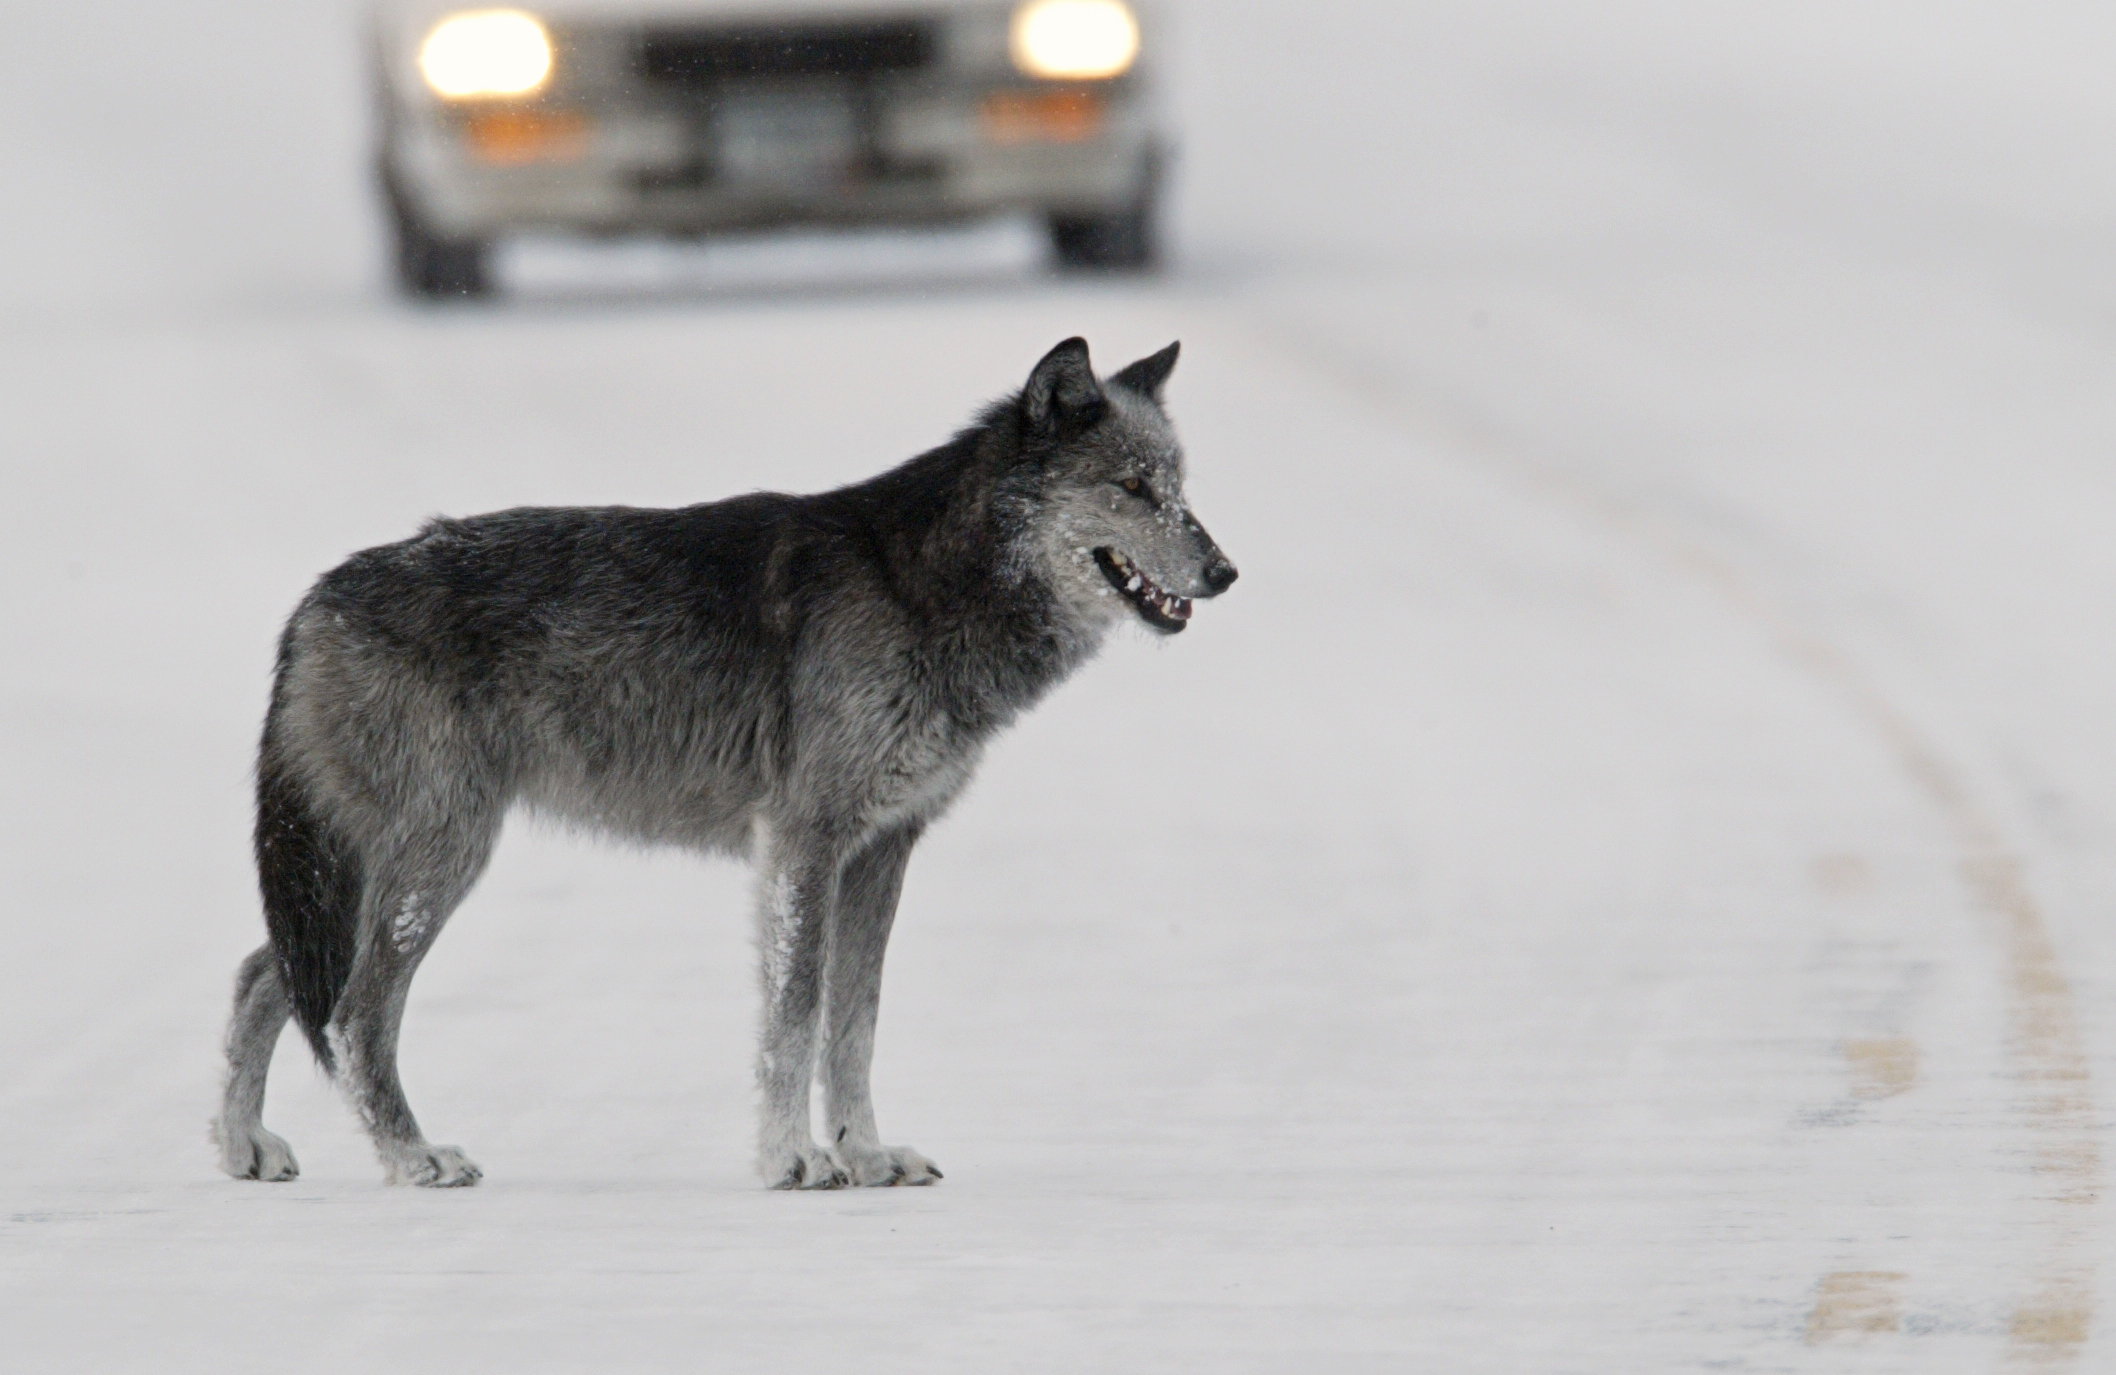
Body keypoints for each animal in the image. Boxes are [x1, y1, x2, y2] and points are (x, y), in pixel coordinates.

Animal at [210, 336, 1235, 1184]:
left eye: (1180, 486)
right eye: (1131, 489)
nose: (1225, 571)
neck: (920, 585)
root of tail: (317, 597)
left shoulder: (882, 850)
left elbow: (854, 1026)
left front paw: (866, 1155)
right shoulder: (805, 840)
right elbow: (797, 1015)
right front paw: (793, 1159)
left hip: (372, 868)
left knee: (264, 973)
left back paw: (244, 1146)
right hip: (440, 858)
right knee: (352, 1011)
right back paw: (413, 1156)